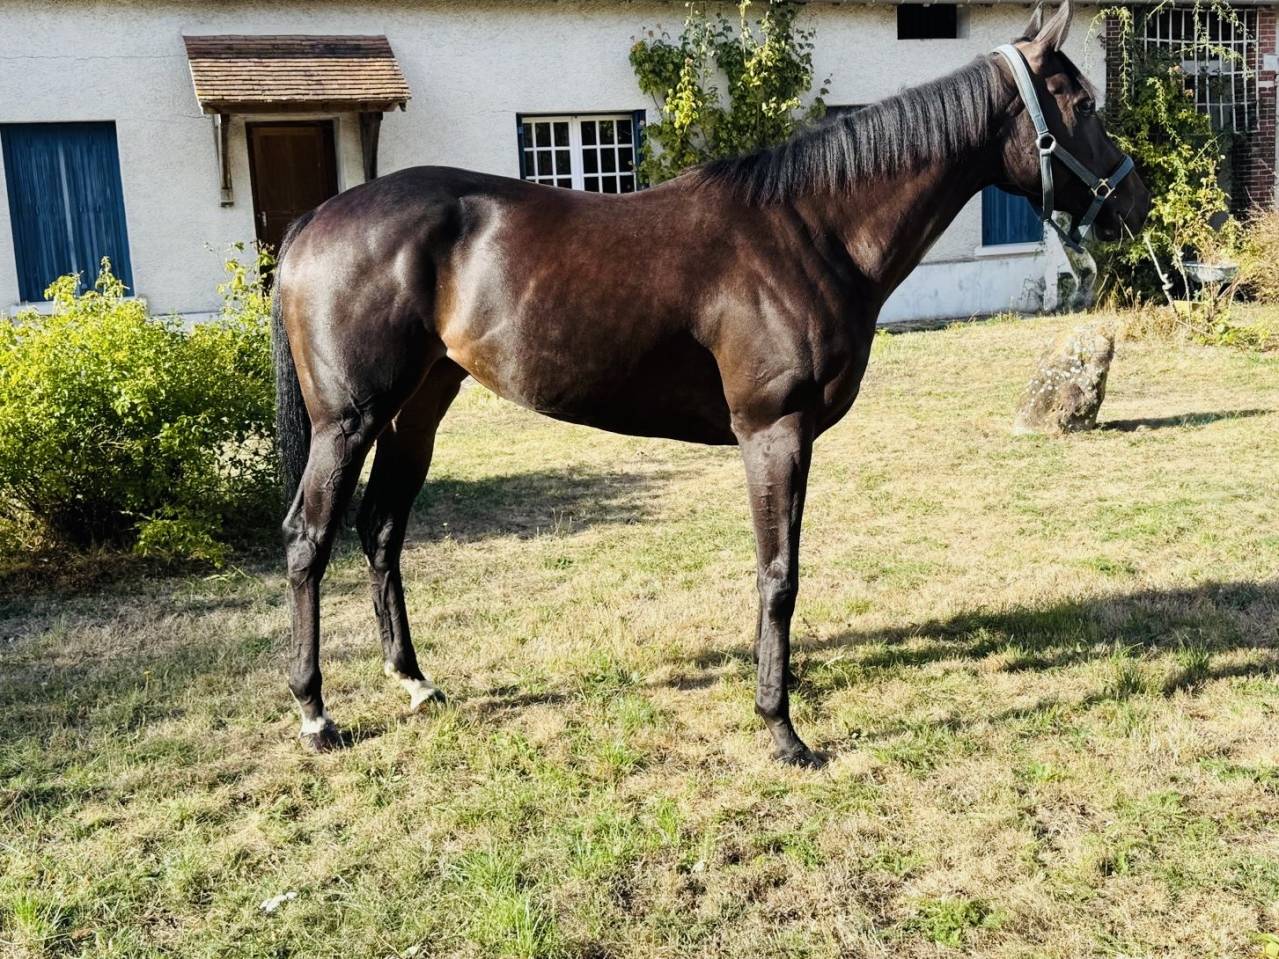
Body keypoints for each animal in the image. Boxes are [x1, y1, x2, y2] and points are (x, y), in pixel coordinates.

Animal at [272, 0, 1150, 766]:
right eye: (1080, 101)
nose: (1133, 201)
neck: (811, 232)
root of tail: (312, 223)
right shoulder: (773, 431)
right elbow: (778, 574)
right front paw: (781, 727)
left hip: (417, 409)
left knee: (381, 532)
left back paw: (416, 683)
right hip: (348, 420)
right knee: (310, 541)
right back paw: (316, 714)